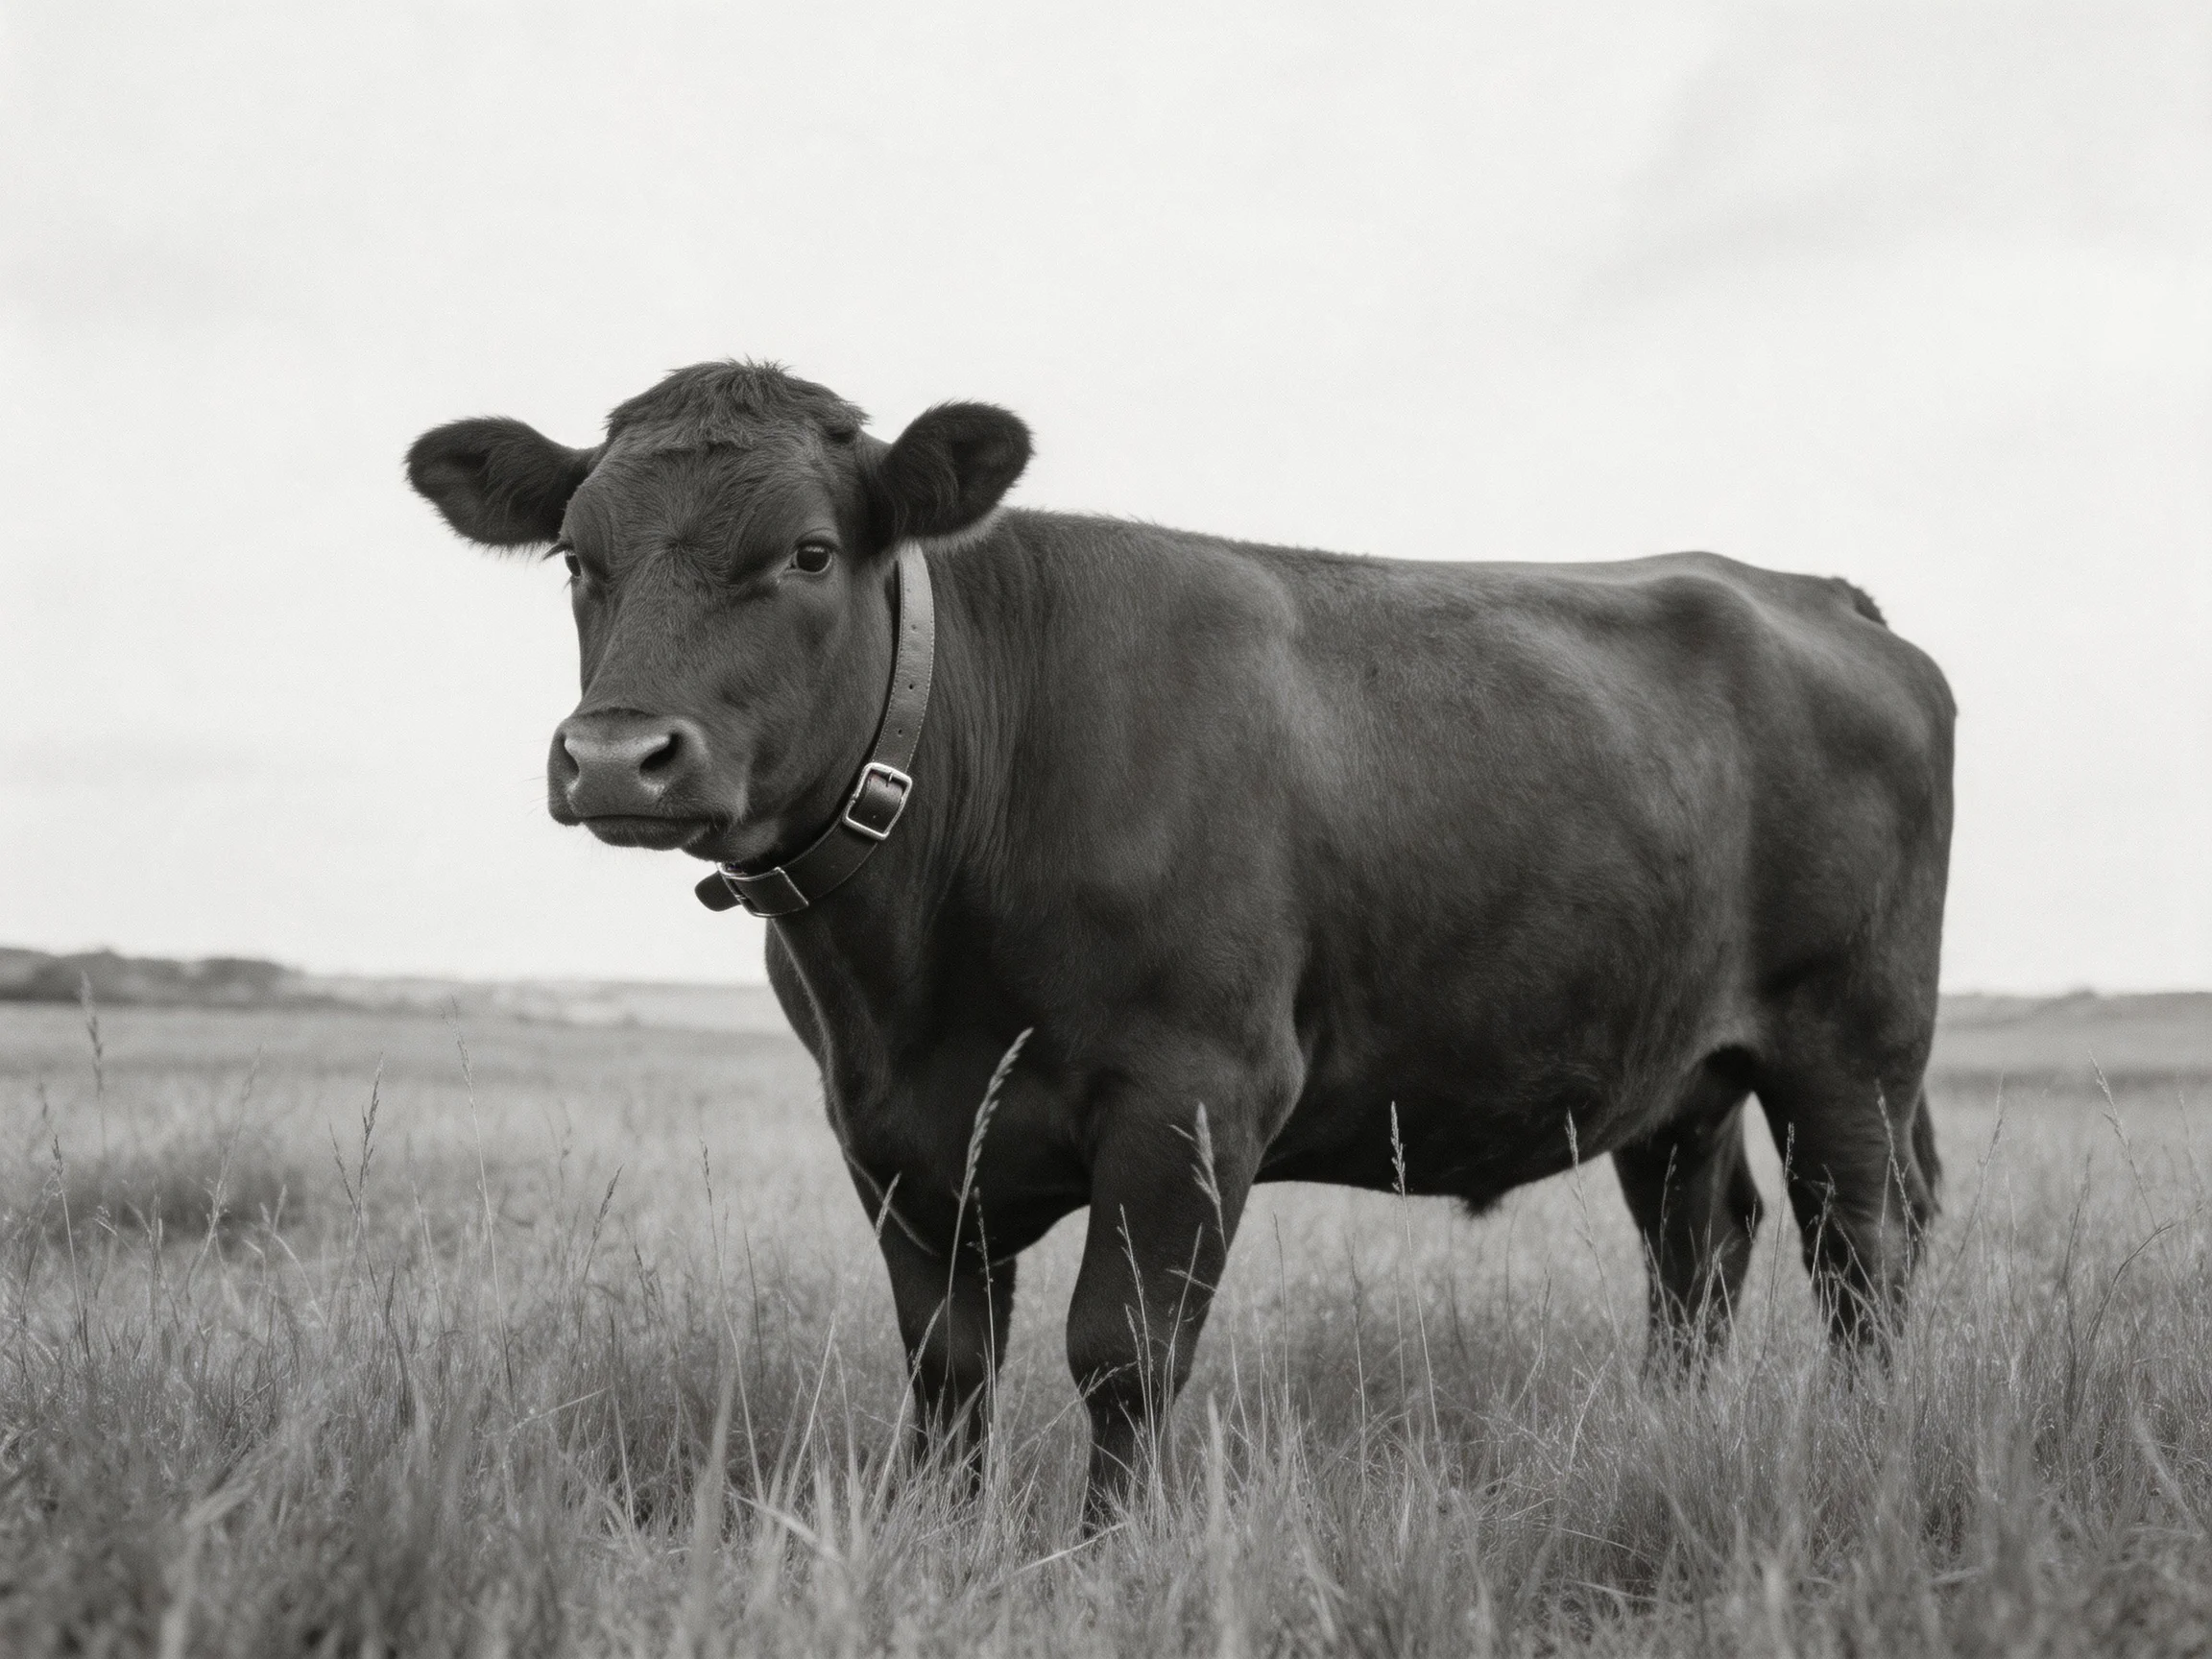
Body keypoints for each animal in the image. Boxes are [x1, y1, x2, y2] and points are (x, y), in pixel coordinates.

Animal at [407, 361, 1954, 1522]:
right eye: (578, 558)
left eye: (808, 552)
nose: (618, 756)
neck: (914, 976)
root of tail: (1812, 591)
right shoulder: (892, 1136)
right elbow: (947, 1365)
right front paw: (942, 1541)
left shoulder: (1192, 1097)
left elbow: (1123, 1356)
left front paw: (1099, 1563)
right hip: (1676, 1069)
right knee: (1700, 1249)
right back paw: (1663, 1438)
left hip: (1852, 1045)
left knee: (1860, 1253)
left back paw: (1864, 1452)